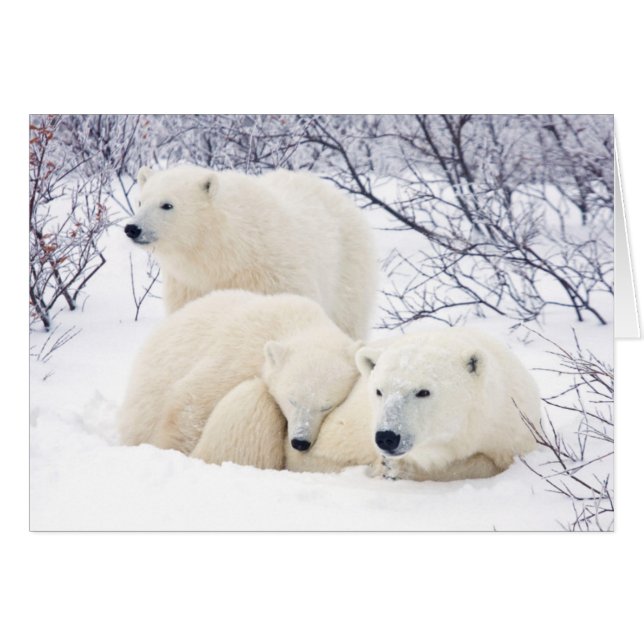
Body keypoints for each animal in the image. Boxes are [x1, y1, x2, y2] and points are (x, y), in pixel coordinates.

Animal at [124, 164, 377, 340]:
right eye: (140, 201)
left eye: (167, 205)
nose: (132, 228)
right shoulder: (189, 286)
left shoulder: (274, 276)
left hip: (347, 268)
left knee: (349, 320)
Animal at [191, 327, 540, 482]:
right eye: (379, 391)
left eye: (423, 392)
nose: (387, 437)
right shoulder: (349, 426)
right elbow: (317, 459)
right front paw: (382, 467)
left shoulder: (512, 427)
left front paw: (400, 468)